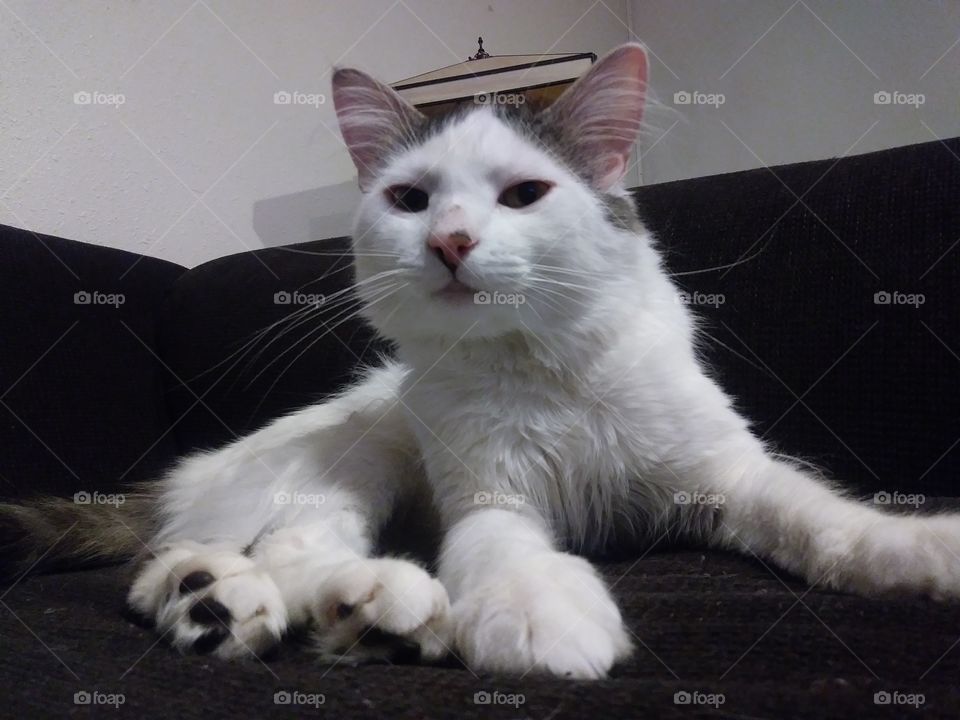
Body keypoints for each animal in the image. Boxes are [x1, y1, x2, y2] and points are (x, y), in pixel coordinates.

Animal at [69, 46, 960, 680]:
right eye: (410, 201)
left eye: (524, 195)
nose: (450, 241)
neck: (546, 366)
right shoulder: (490, 494)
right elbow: (508, 551)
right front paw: (540, 612)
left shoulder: (728, 473)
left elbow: (822, 518)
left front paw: (918, 551)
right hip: (363, 451)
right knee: (252, 551)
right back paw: (273, 601)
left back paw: (334, 618)